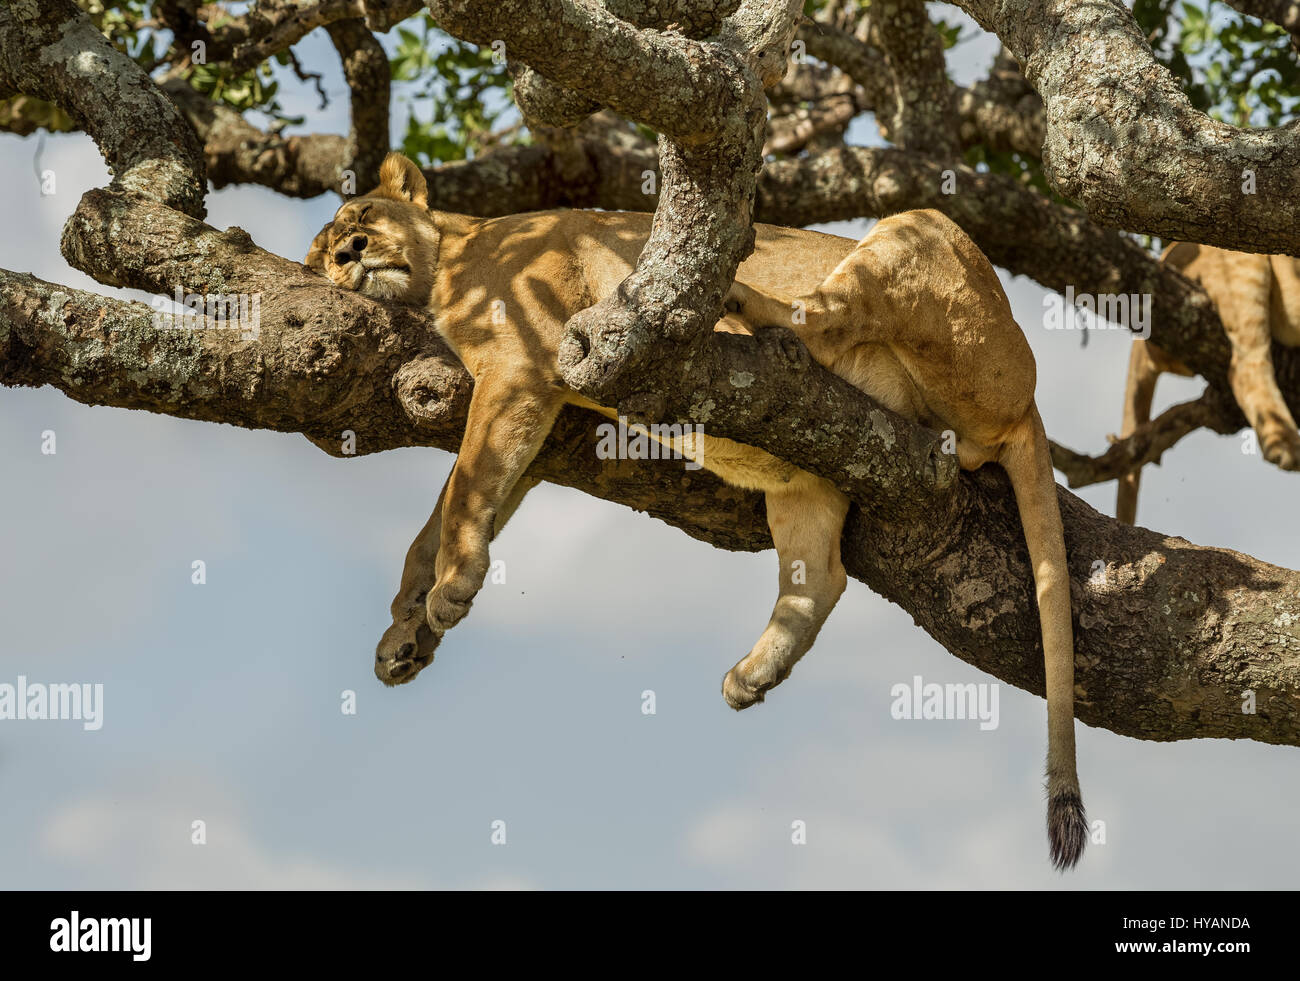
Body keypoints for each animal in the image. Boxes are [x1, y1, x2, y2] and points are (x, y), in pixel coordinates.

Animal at [306, 152, 1087, 869]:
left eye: (361, 217)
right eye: (319, 256)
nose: (348, 254)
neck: (447, 262)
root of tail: (1028, 402)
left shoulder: (523, 364)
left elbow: (468, 483)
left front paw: (450, 589)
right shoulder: (546, 415)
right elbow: (440, 516)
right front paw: (406, 633)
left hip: (921, 232)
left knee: (819, 321)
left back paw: (734, 303)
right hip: (815, 469)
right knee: (820, 575)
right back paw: (753, 674)